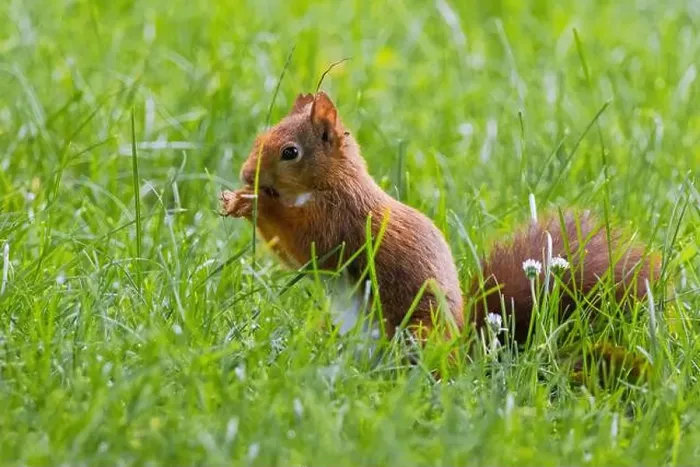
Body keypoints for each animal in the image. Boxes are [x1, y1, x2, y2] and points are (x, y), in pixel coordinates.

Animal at [220, 91, 661, 369]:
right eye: (260, 137)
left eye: (290, 152)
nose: (245, 173)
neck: (333, 183)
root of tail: (465, 354)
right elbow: (294, 258)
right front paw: (237, 200)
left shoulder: (340, 220)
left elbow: (307, 245)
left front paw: (256, 202)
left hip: (419, 330)